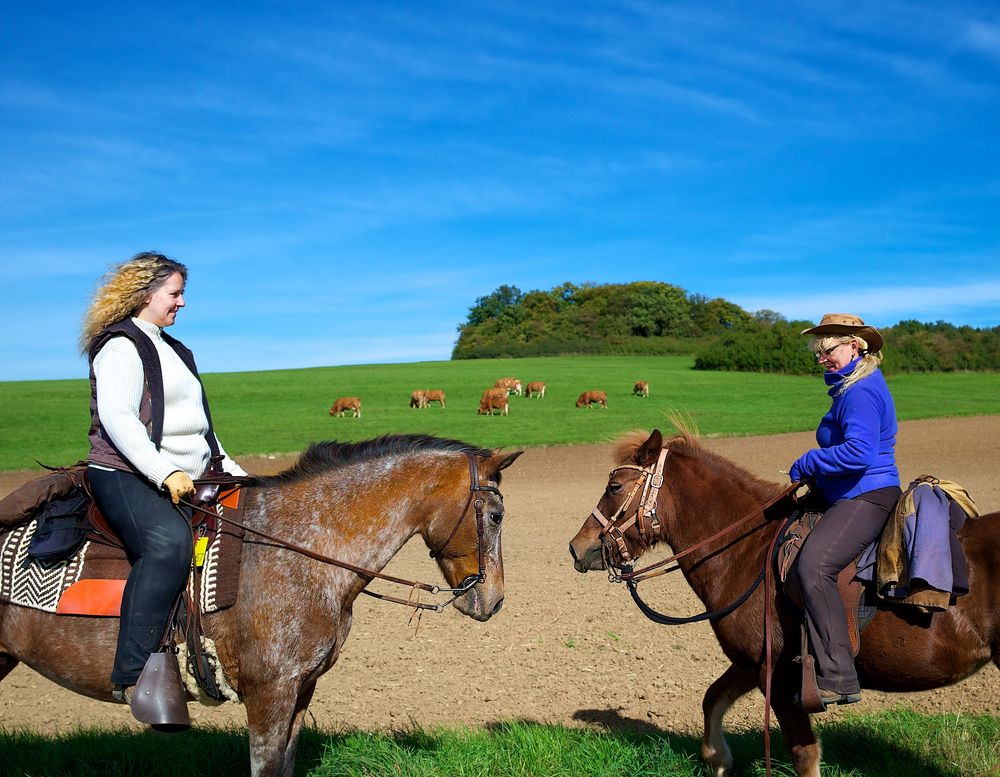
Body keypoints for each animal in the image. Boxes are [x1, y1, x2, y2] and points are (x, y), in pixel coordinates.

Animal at [572, 428, 1000, 776]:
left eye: (614, 488)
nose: (577, 546)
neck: (749, 550)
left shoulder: (778, 674)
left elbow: (803, 753)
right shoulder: (752, 662)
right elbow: (712, 699)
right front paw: (719, 759)